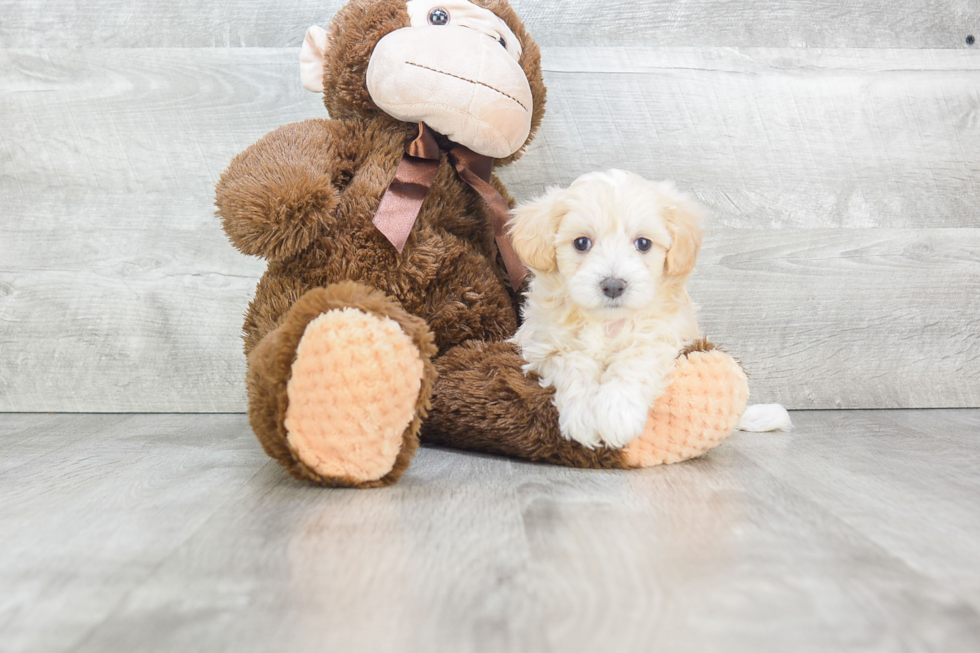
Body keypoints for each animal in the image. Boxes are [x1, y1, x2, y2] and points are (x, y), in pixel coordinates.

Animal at [506, 169, 704, 448]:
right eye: (581, 243)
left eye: (643, 244)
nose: (612, 285)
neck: (605, 323)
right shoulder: (545, 346)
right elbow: (574, 364)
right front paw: (584, 417)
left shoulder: (659, 337)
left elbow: (634, 361)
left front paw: (617, 414)